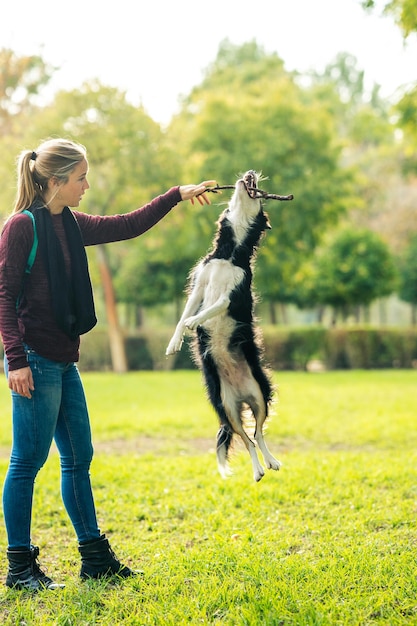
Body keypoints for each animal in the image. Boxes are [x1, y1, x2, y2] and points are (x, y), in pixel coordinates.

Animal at [165, 168, 280, 480]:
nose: (251, 172)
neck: (229, 255)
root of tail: (240, 395)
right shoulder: (200, 285)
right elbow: (184, 315)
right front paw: (175, 340)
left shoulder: (235, 296)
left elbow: (212, 308)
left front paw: (196, 321)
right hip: (226, 407)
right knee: (247, 437)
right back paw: (257, 469)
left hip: (260, 394)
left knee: (259, 433)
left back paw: (270, 462)